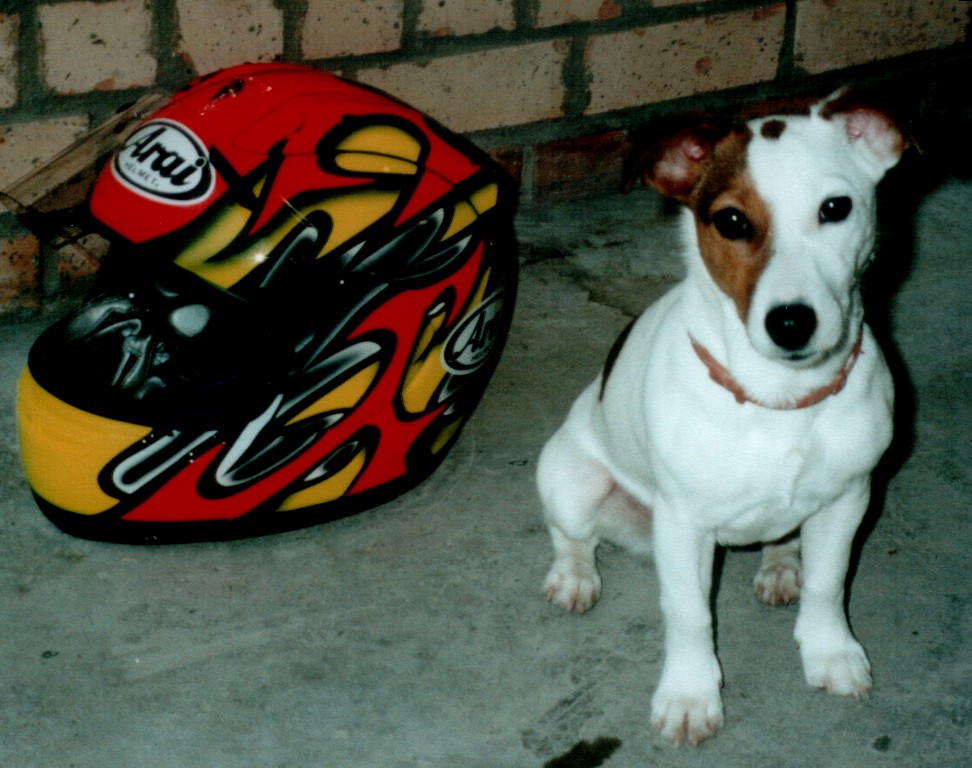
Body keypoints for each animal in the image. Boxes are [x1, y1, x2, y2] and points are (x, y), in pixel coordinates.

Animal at [536, 91, 908, 744]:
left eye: (836, 208)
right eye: (732, 221)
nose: (791, 322)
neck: (780, 398)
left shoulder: (848, 499)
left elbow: (829, 583)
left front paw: (830, 652)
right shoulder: (684, 525)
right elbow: (688, 616)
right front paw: (690, 695)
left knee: (784, 539)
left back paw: (781, 563)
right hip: (572, 482)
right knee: (572, 535)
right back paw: (575, 576)